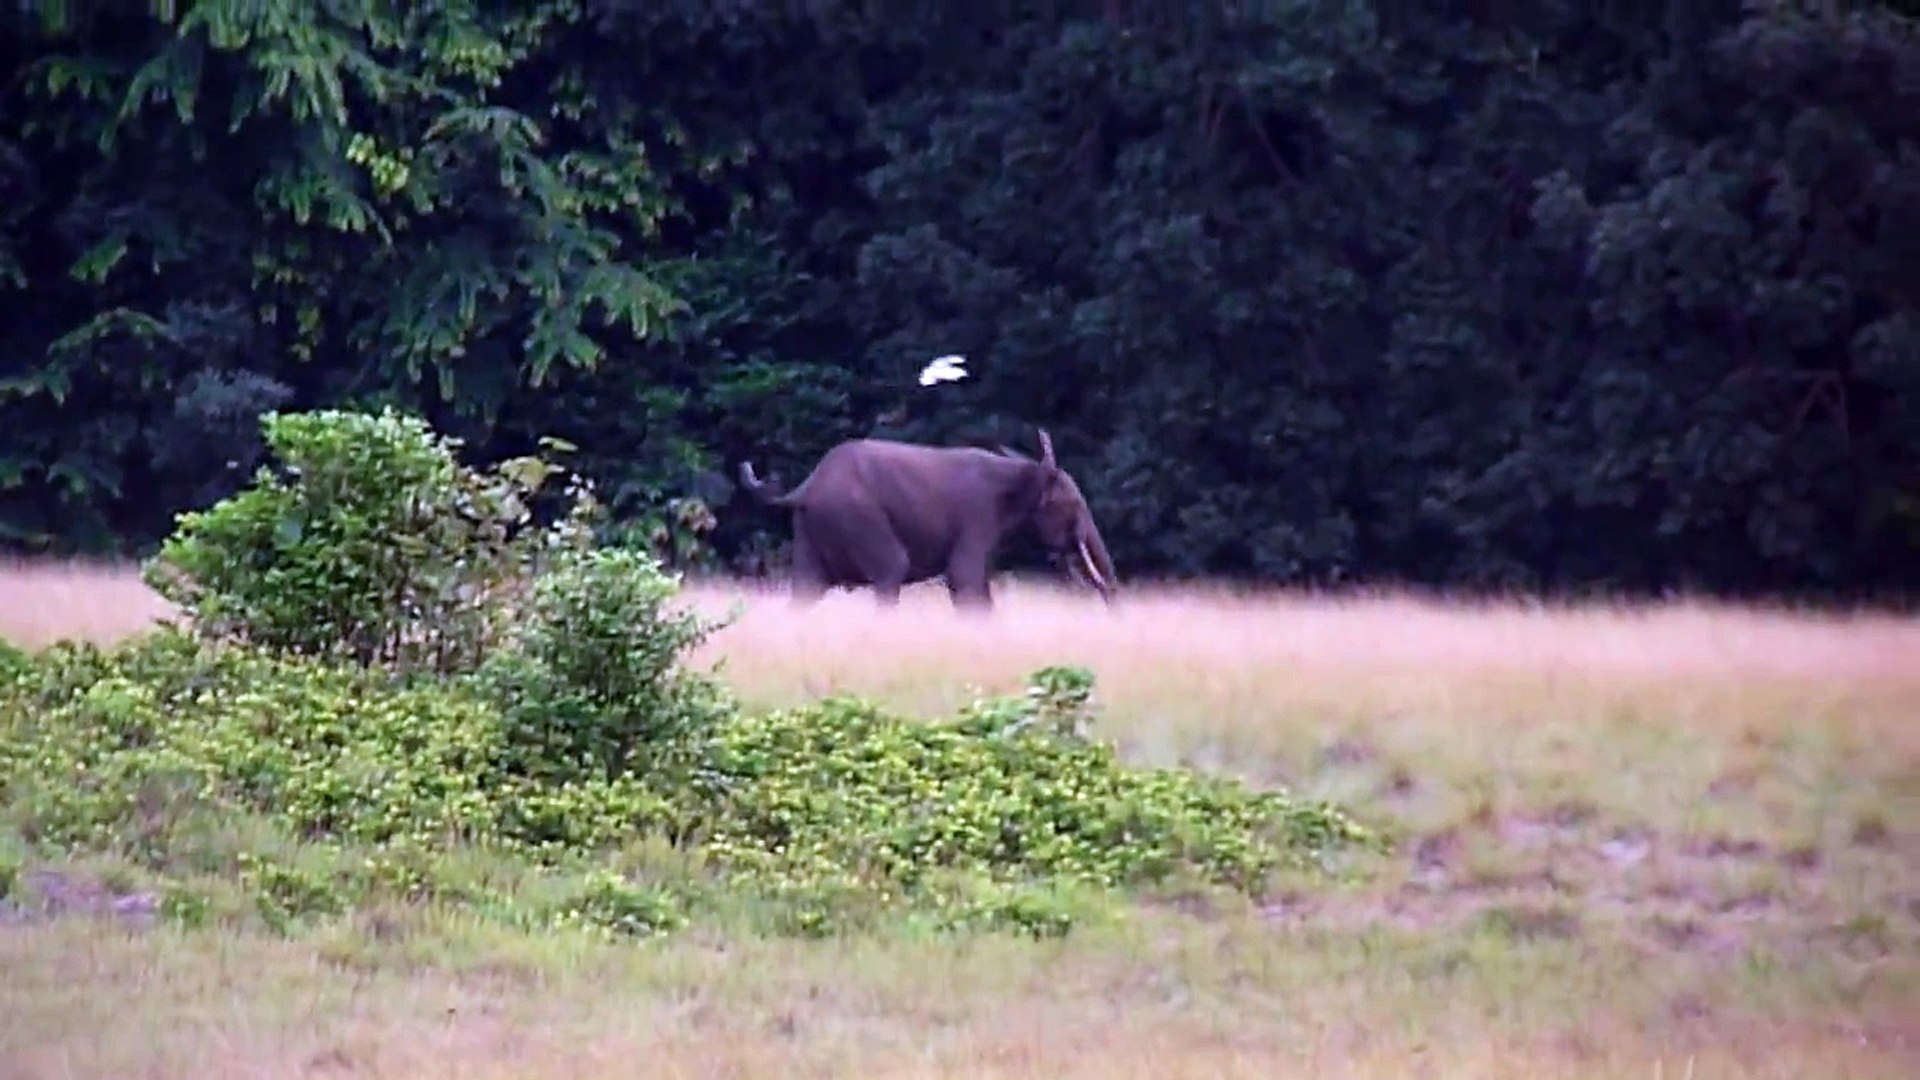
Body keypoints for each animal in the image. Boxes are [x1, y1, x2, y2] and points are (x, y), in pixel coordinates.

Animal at [737, 424, 1121, 607]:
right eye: (1071, 504)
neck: (1023, 469)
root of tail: (804, 487)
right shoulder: (977, 515)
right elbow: (965, 579)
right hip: (858, 517)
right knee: (891, 570)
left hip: (809, 530)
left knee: (805, 591)